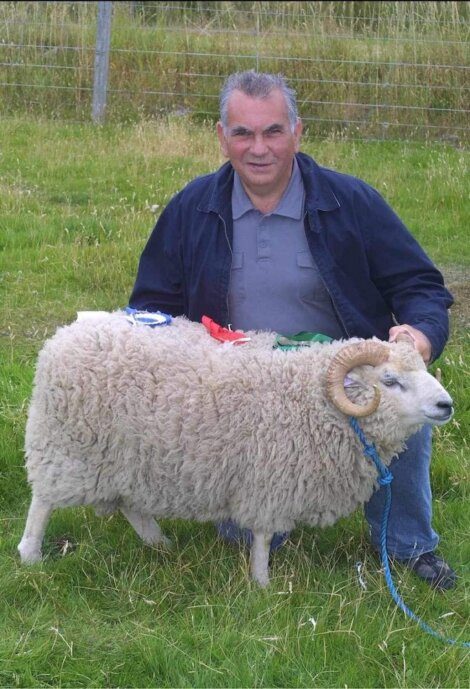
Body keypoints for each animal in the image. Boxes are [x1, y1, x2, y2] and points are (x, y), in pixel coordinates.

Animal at [16, 312, 454, 584]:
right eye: (390, 380)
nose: (446, 405)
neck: (313, 398)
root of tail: (63, 336)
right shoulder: (269, 480)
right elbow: (262, 536)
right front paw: (262, 584)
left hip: (129, 455)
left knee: (130, 504)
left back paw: (160, 543)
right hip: (67, 447)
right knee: (44, 501)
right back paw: (31, 555)